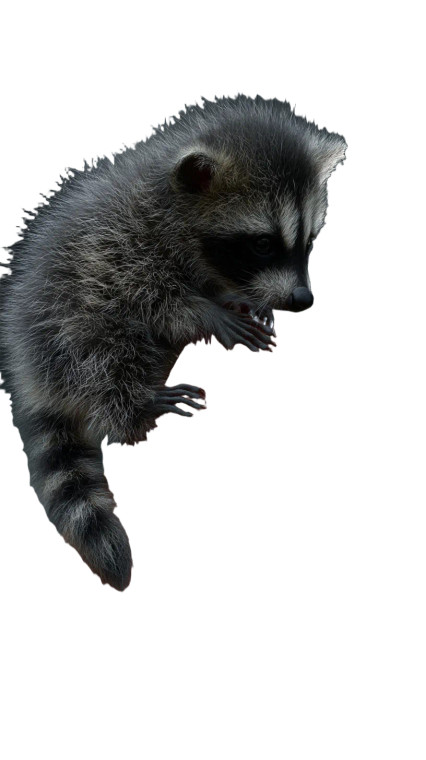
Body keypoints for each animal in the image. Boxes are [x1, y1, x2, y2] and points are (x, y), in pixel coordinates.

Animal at [0, 95, 346, 590]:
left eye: (310, 241)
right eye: (262, 244)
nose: (303, 299)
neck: (172, 202)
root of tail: (23, 369)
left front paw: (248, 299)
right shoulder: (116, 244)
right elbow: (152, 300)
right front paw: (204, 311)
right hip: (58, 320)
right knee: (99, 348)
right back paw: (133, 404)